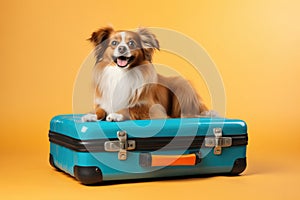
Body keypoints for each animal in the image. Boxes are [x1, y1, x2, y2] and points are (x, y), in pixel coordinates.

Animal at [81, 26, 214, 122]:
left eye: (131, 43)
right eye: (114, 43)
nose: (122, 48)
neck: (122, 73)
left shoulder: (152, 107)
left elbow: (130, 108)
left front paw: (116, 115)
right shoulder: (103, 101)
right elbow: (101, 109)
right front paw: (92, 115)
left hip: (182, 86)